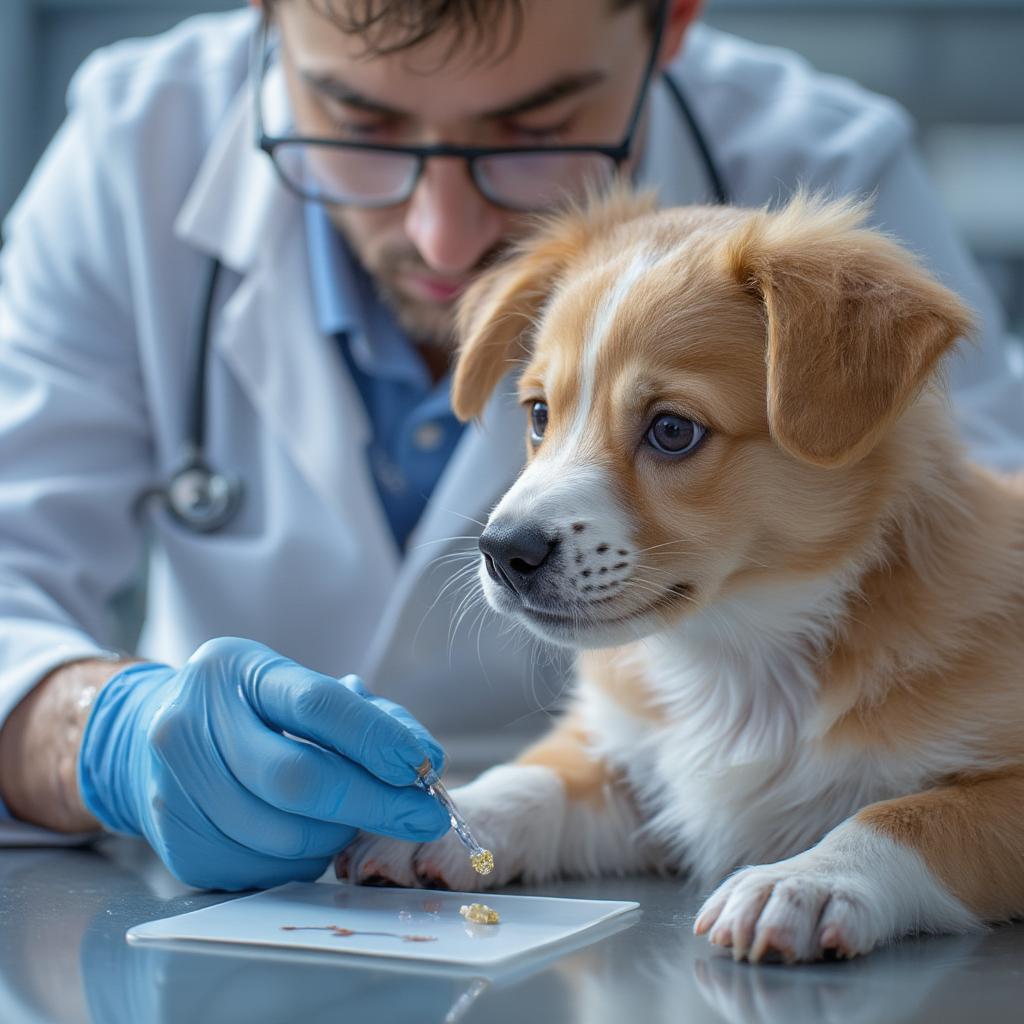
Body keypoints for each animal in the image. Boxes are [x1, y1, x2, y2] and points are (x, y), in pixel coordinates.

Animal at [342, 190, 1024, 958]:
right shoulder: (640, 776)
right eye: (540, 413)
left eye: (673, 430)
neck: (737, 659)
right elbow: (544, 777)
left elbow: (913, 814)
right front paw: (449, 812)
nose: (503, 550)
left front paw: (806, 880)